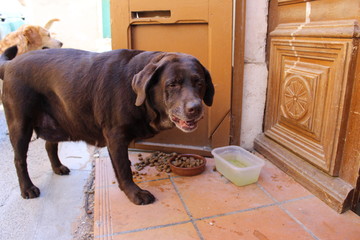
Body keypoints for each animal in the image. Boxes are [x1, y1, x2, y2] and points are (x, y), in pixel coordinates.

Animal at [0, 46, 214, 205]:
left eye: (199, 82)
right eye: (172, 84)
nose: (195, 108)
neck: (136, 93)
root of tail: (10, 64)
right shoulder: (116, 137)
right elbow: (123, 168)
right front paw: (134, 193)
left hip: (58, 120)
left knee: (49, 145)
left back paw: (57, 167)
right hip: (20, 125)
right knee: (19, 159)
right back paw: (27, 188)